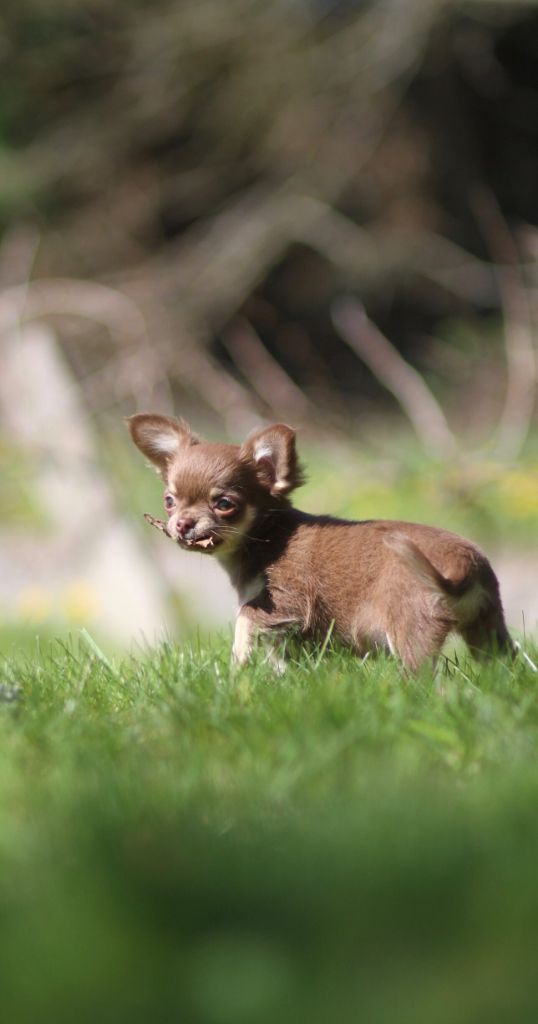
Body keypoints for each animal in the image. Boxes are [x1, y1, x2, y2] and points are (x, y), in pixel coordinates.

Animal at [128, 415, 514, 671]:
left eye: (224, 504)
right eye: (169, 500)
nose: (181, 524)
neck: (268, 537)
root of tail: (465, 563)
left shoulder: (289, 601)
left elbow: (246, 615)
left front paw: (238, 659)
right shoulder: (285, 630)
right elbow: (278, 656)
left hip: (410, 629)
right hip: (486, 627)